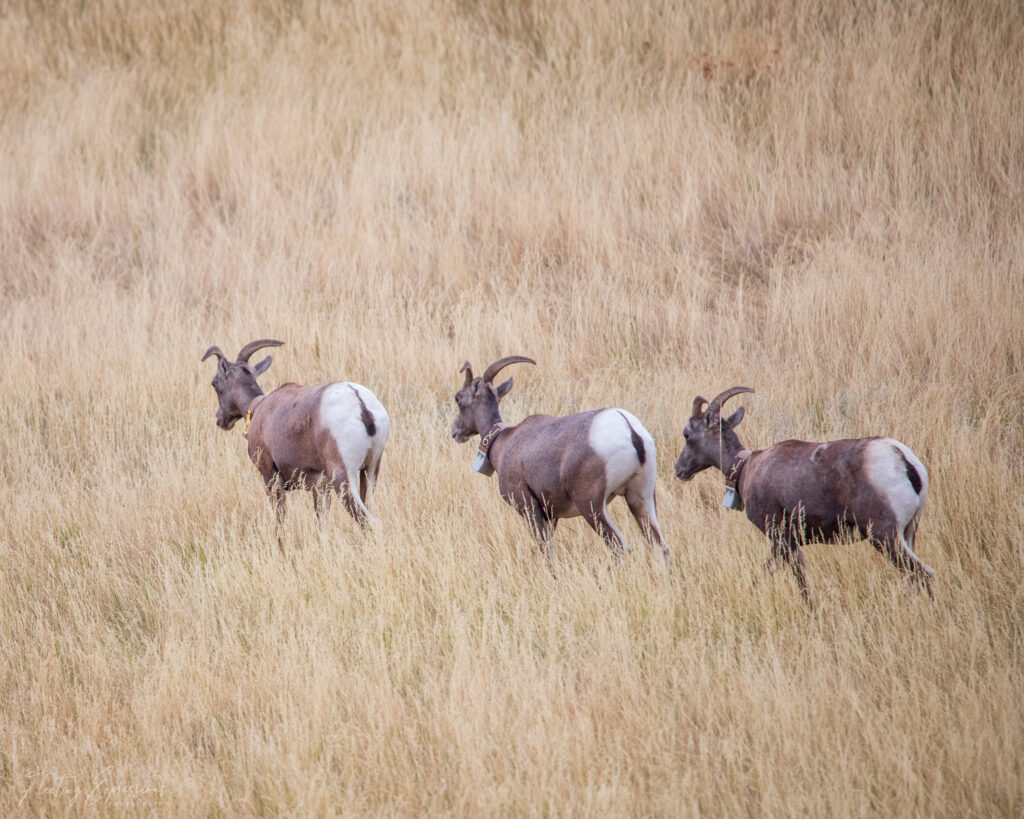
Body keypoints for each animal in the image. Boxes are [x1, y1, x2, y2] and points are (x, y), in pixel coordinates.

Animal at [201, 337, 389, 532]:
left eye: (214, 383)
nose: (220, 419)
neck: (260, 408)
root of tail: (361, 405)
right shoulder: (321, 489)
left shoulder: (270, 477)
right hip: (370, 472)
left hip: (344, 478)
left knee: (368, 521)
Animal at [452, 354, 667, 565]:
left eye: (458, 399)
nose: (455, 431)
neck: (502, 442)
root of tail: (630, 431)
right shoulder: (551, 514)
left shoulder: (530, 509)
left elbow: (547, 552)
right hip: (641, 497)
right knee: (660, 547)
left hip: (592, 506)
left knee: (619, 547)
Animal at [675, 386, 933, 597]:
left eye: (687, 435)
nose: (679, 469)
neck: (747, 468)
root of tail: (905, 462)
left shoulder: (782, 539)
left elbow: (797, 581)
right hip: (909, 533)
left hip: (885, 537)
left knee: (922, 574)